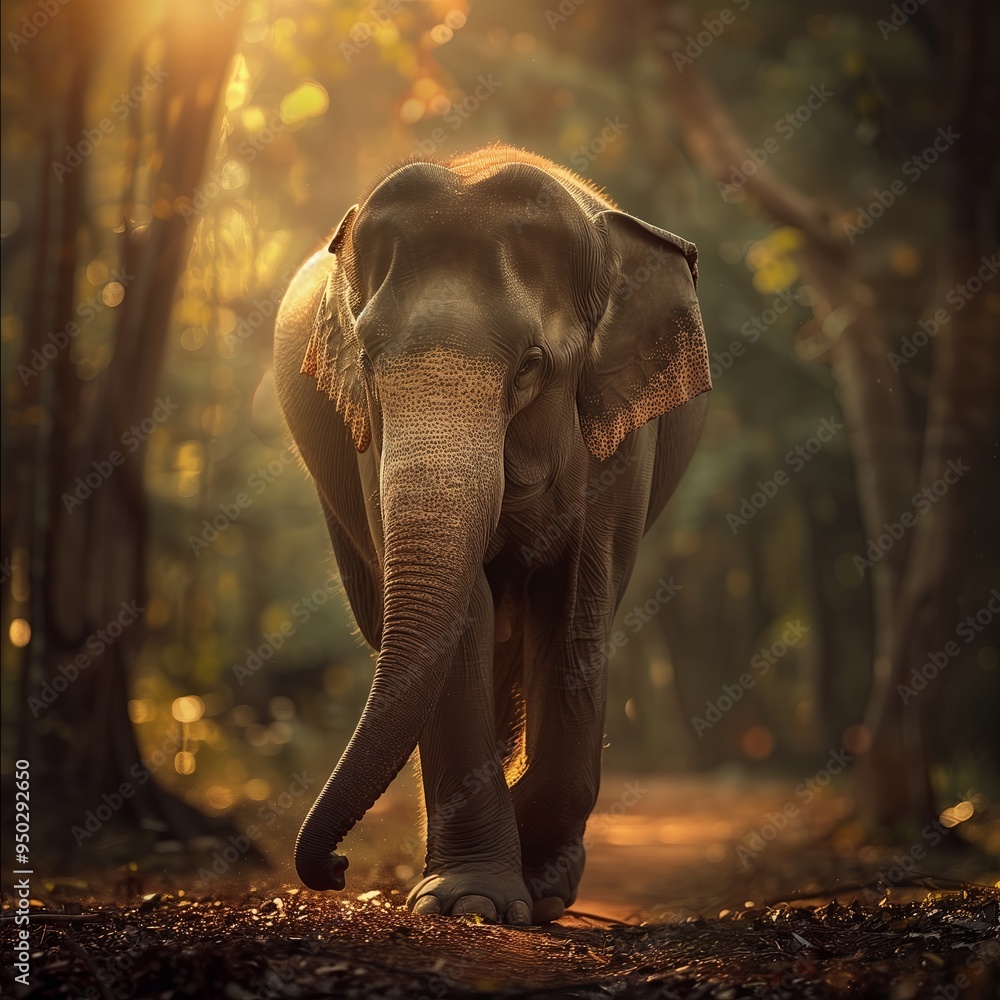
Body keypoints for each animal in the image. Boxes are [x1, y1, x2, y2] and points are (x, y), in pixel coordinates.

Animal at [273, 144, 712, 925]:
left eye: (532, 367)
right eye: (368, 363)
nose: (336, 868)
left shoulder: (621, 440)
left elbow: (575, 612)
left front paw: (535, 883)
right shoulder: (368, 449)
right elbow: (464, 618)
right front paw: (467, 901)